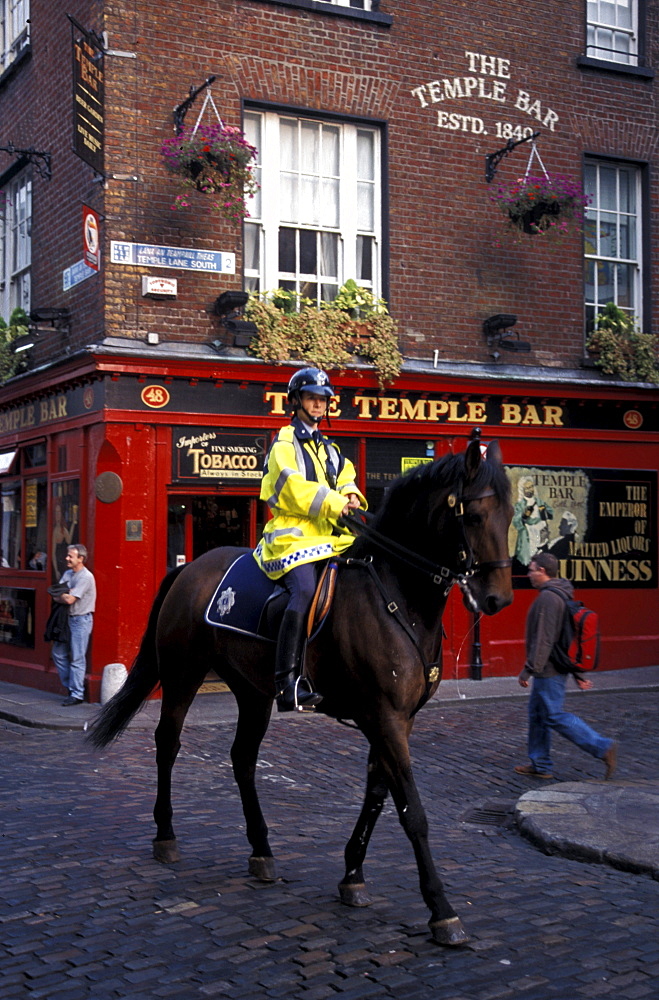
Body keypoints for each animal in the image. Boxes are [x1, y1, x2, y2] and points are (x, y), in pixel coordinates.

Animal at [86, 436, 516, 944]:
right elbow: (413, 810)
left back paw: (262, 850)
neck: (396, 597)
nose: (498, 599)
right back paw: (166, 835)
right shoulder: (385, 716)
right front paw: (441, 909)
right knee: (167, 744)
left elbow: (378, 794)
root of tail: (189, 568)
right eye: (475, 516)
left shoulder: (397, 719)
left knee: (242, 759)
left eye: (510, 514)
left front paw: (352, 874)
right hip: (183, 674)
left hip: (252, 691)